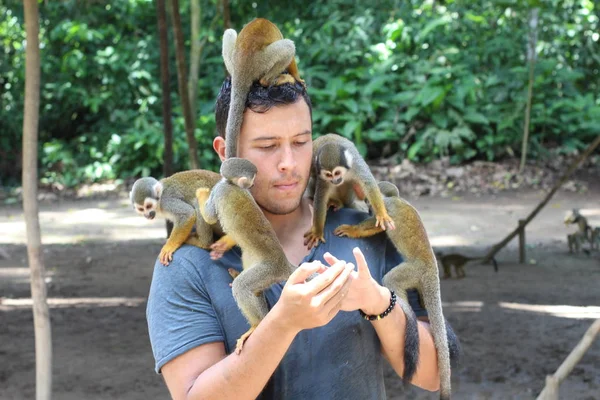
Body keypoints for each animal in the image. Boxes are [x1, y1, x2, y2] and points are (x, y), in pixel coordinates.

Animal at [197, 158, 296, 354]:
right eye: (253, 177)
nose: (253, 183)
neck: (231, 184)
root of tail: (283, 264)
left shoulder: (219, 190)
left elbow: (210, 217)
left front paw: (201, 194)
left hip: (269, 270)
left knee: (242, 286)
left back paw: (256, 325)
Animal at [221, 17, 302, 159]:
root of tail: (243, 65)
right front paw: (298, 78)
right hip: (263, 61)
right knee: (288, 46)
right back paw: (272, 80)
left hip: (233, 61)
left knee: (229, 32)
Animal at [332, 181, 454, 400]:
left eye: (368, 203)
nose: (368, 208)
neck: (390, 199)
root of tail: (432, 268)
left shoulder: (386, 208)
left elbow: (376, 224)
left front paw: (352, 229)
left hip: (414, 270)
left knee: (391, 279)